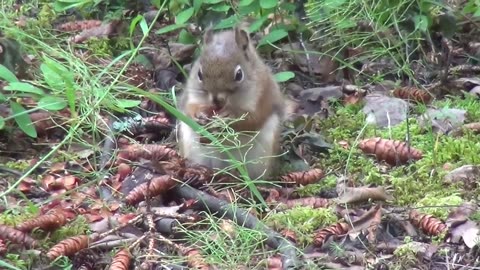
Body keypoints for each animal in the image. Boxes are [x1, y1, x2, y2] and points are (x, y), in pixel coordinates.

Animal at [176, 26, 284, 180]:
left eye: (239, 74)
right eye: (199, 74)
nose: (216, 100)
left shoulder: (263, 97)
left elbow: (252, 119)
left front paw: (229, 117)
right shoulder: (190, 96)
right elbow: (188, 108)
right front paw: (199, 114)